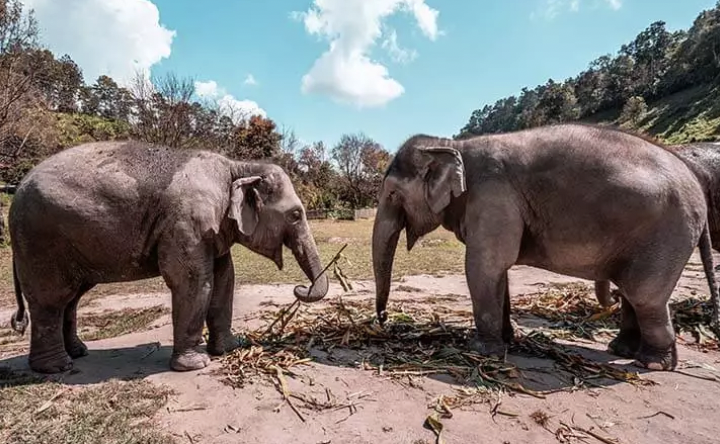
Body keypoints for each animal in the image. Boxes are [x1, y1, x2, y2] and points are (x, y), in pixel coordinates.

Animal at [8, 140, 329, 374]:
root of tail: (17, 188)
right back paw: (56, 367)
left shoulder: (212, 228)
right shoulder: (186, 222)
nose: (299, 288)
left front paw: (229, 348)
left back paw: (78, 353)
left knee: (71, 298)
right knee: (52, 298)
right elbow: (194, 282)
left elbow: (225, 281)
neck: (236, 165)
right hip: (39, 239)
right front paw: (196, 365)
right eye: (296, 214)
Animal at [371, 123, 719, 371]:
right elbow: (498, 272)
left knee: (645, 296)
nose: (384, 321)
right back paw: (622, 350)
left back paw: (653, 363)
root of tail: (694, 180)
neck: (454, 146)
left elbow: (484, 267)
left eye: (392, 193)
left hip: (667, 232)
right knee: (634, 294)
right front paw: (507, 339)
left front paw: (483, 351)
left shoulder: (493, 196)